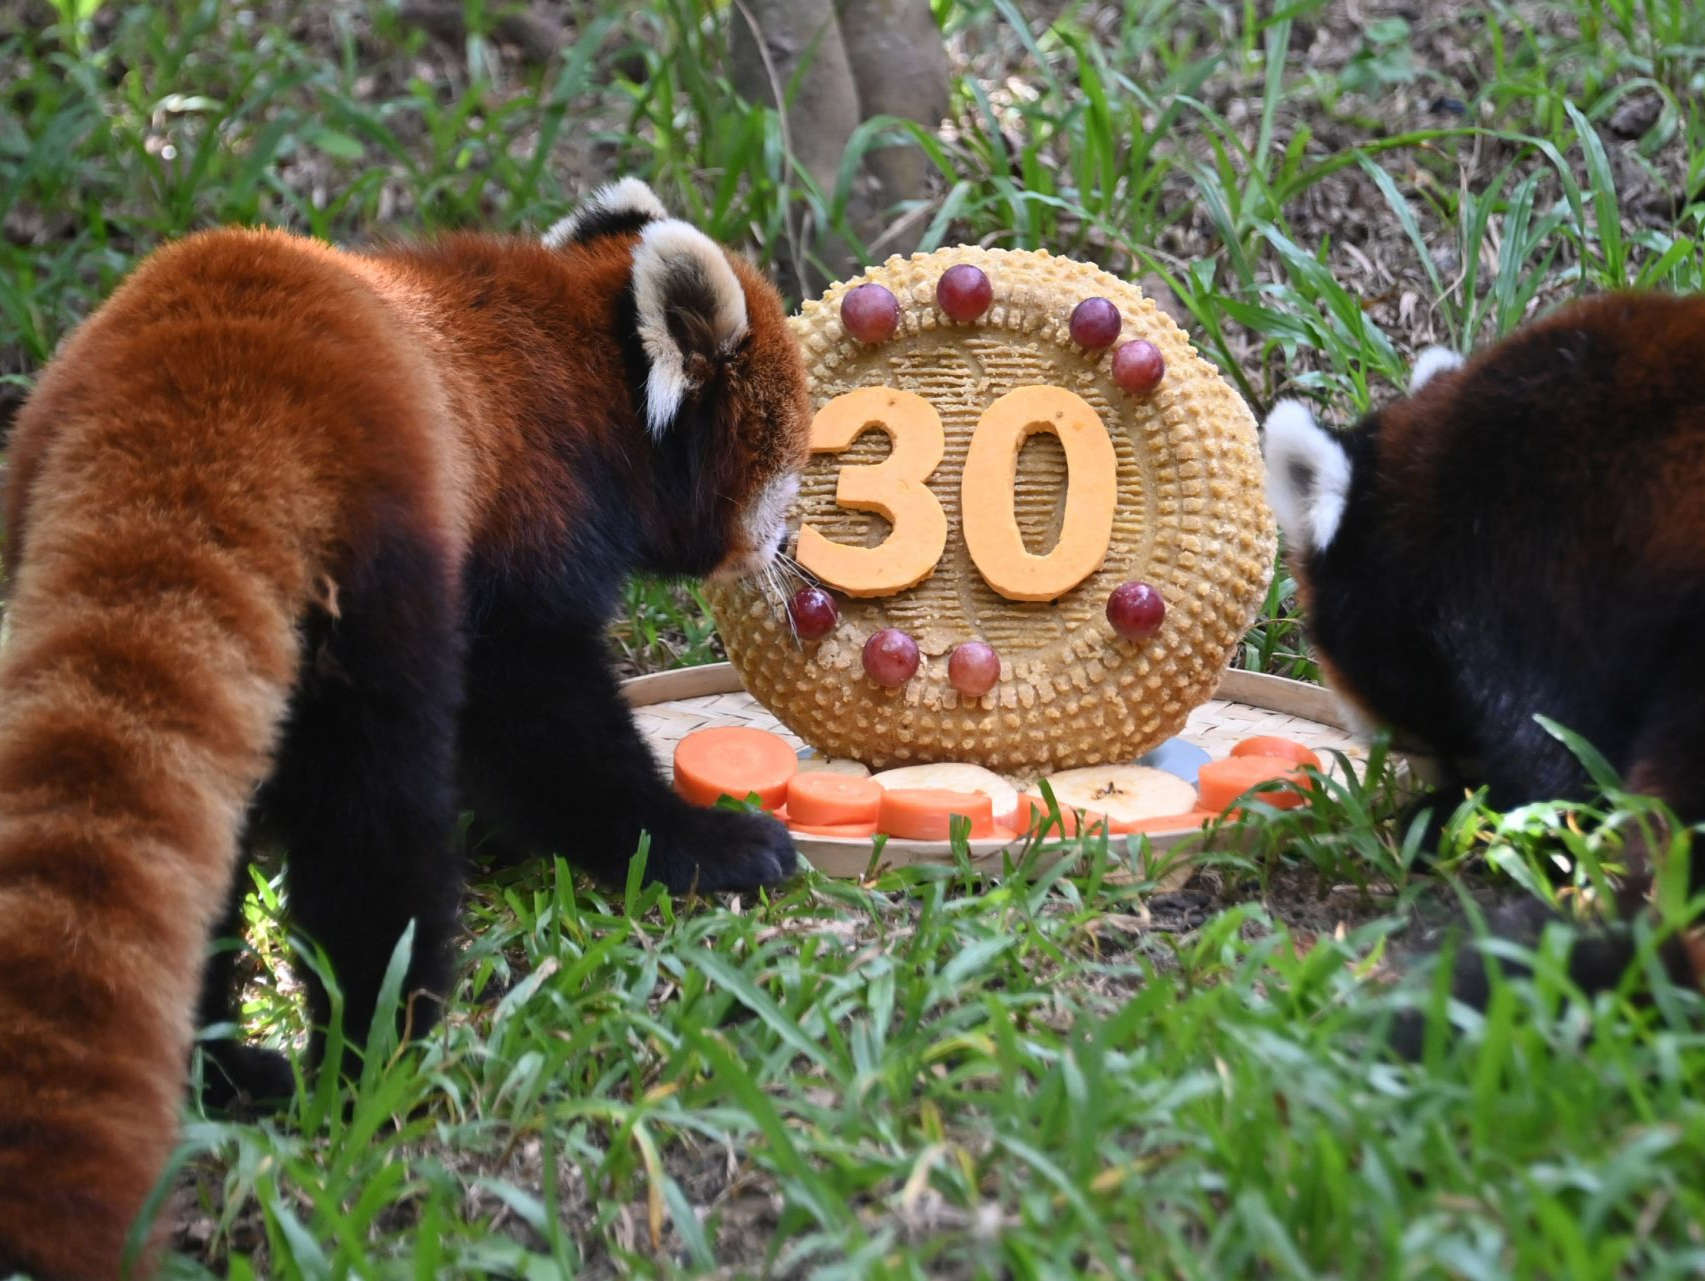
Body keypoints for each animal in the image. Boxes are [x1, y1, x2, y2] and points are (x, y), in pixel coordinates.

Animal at [0, 175, 811, 1275]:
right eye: (795, 458)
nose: (795, 546)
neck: (586, 373)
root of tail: (194, 411)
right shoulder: (523, 530)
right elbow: (545, 725)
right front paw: (702, 845)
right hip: (376, 574)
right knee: (372, 822)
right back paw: (375, 1057)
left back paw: (226, 1068)